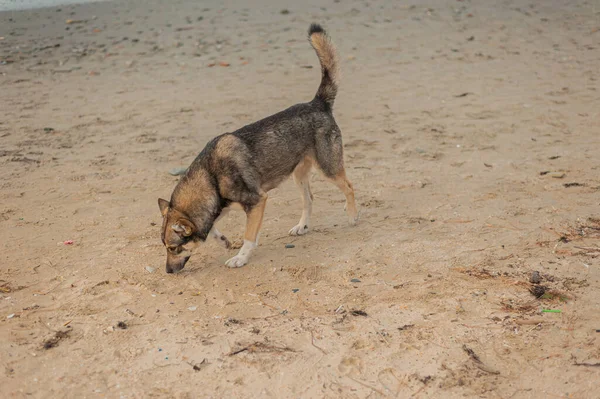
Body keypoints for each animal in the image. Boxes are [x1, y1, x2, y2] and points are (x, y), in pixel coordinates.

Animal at [157, 24, 358, 276]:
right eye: (166, 247)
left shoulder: (257, 202)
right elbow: (212, 228)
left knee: (349, 187)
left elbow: (249, 237)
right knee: (309, 199)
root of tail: (317, 103)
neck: (210, 175)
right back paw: (303, 226)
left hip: (328, 167)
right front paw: (224, 241)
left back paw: (352, 216)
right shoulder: (221, 206)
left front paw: (240, 258)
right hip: (299, 176)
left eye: (174, 248)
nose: (168, 271)